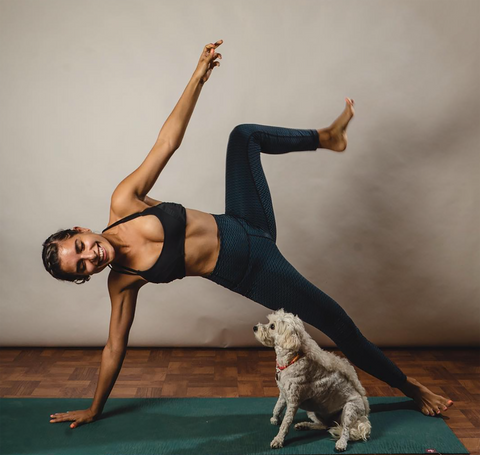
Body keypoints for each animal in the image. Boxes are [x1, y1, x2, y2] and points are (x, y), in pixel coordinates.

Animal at [253, 310, 374, 452]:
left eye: (272, 326)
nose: (254, 327)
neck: (290, 361)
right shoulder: (283, 394)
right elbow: (277, 407)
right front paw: (274, 418)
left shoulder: (293, 402)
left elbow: (285, 423)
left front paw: (278, 439)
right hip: (313, 411)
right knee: (324, 425)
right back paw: (304, 425)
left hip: (349, 410)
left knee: (346, 430)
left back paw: (341, 443)